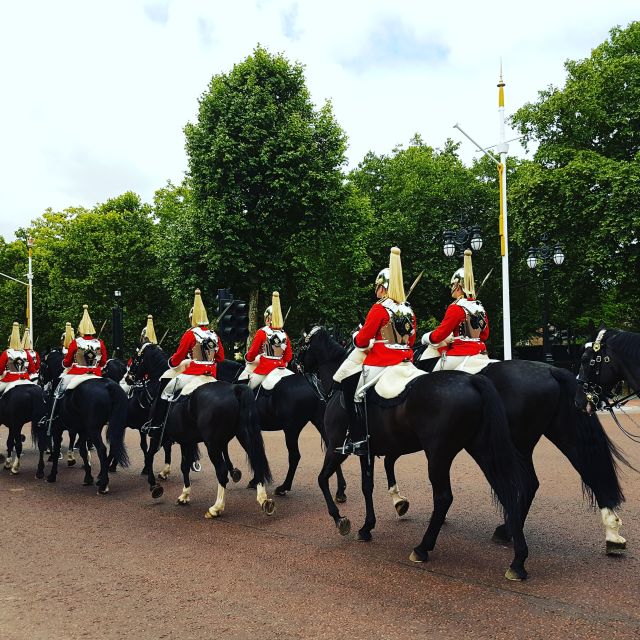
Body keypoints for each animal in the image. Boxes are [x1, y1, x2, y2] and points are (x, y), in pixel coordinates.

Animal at [37, 350, 129, 490]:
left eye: (42, 365)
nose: (39, 383)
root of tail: (108, 385)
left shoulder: (57, 428)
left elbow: (58, 448)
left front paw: (52, 475)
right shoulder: (82, 430)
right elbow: (83, 451)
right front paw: (88, 477)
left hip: (94, 429)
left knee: (102, 449)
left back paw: (103, 484)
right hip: (113, 426)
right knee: (113, 445)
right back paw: (102, 476)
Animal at [302, 328, 532, 584]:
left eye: (303, 344)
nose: (294, 364)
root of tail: (472, 379)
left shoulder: (336, 448)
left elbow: (323, 479)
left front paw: (340, 519)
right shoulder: (367, 451)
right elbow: (367, 486)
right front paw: (368, 526)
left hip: (438, 455)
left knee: (443, 498)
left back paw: (423, 547)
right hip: (481, 449)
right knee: (505, 490)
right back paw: (518, 559)